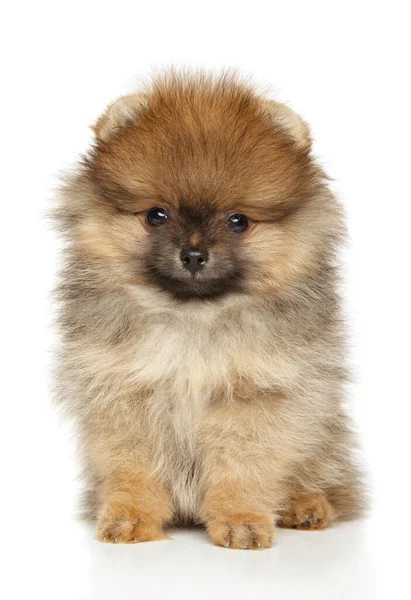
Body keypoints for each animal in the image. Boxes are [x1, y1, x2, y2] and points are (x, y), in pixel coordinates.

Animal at [53, 72, 366, 552]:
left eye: (238, 221)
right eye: (156, 215)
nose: (195, 254)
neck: (194, 318)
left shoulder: (256, 396)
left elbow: (243, 466)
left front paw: (241, 521)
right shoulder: (122, 395)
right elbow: (134, 469)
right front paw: (131, 518)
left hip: (323, 430)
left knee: (328, 477)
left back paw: (306, 505)